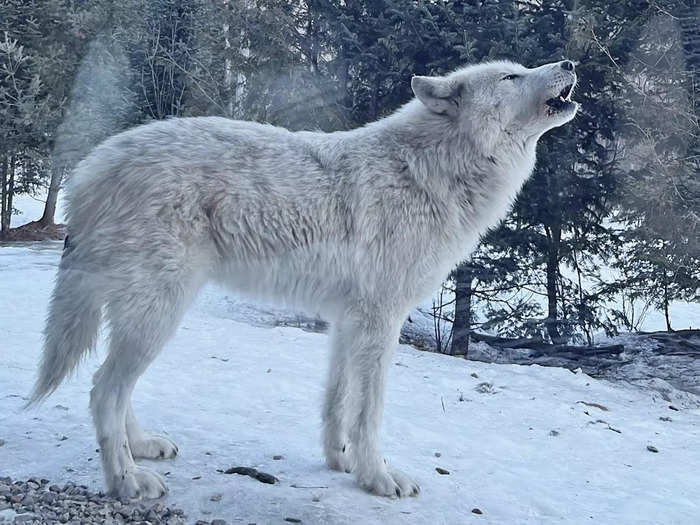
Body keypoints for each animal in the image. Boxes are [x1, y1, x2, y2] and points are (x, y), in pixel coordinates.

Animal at [27, 59, 576, 498]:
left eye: (521, 68)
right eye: (511, 77)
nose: (570, 62)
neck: (429, 172)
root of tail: (90, 168)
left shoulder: (347, 322)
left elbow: (337, 402)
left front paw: (341, 462)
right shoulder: (381, 322)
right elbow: (369, 412)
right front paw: (378, 478)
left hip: (145, 315)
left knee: (113, 388)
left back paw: (141, 446)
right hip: (159, 314)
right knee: (103, 390)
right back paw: (127, 481)